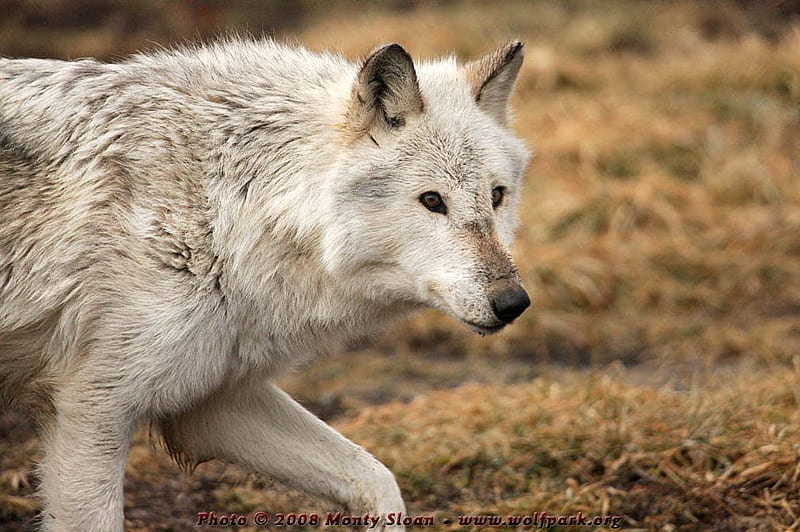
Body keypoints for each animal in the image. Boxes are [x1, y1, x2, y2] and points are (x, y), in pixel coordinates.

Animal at [0, 38, 532, 532]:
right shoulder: (93, 411)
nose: (513, 302)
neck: (223, 208)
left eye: (497, 196)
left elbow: (377, 480)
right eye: (432, 200)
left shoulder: (214, 401)